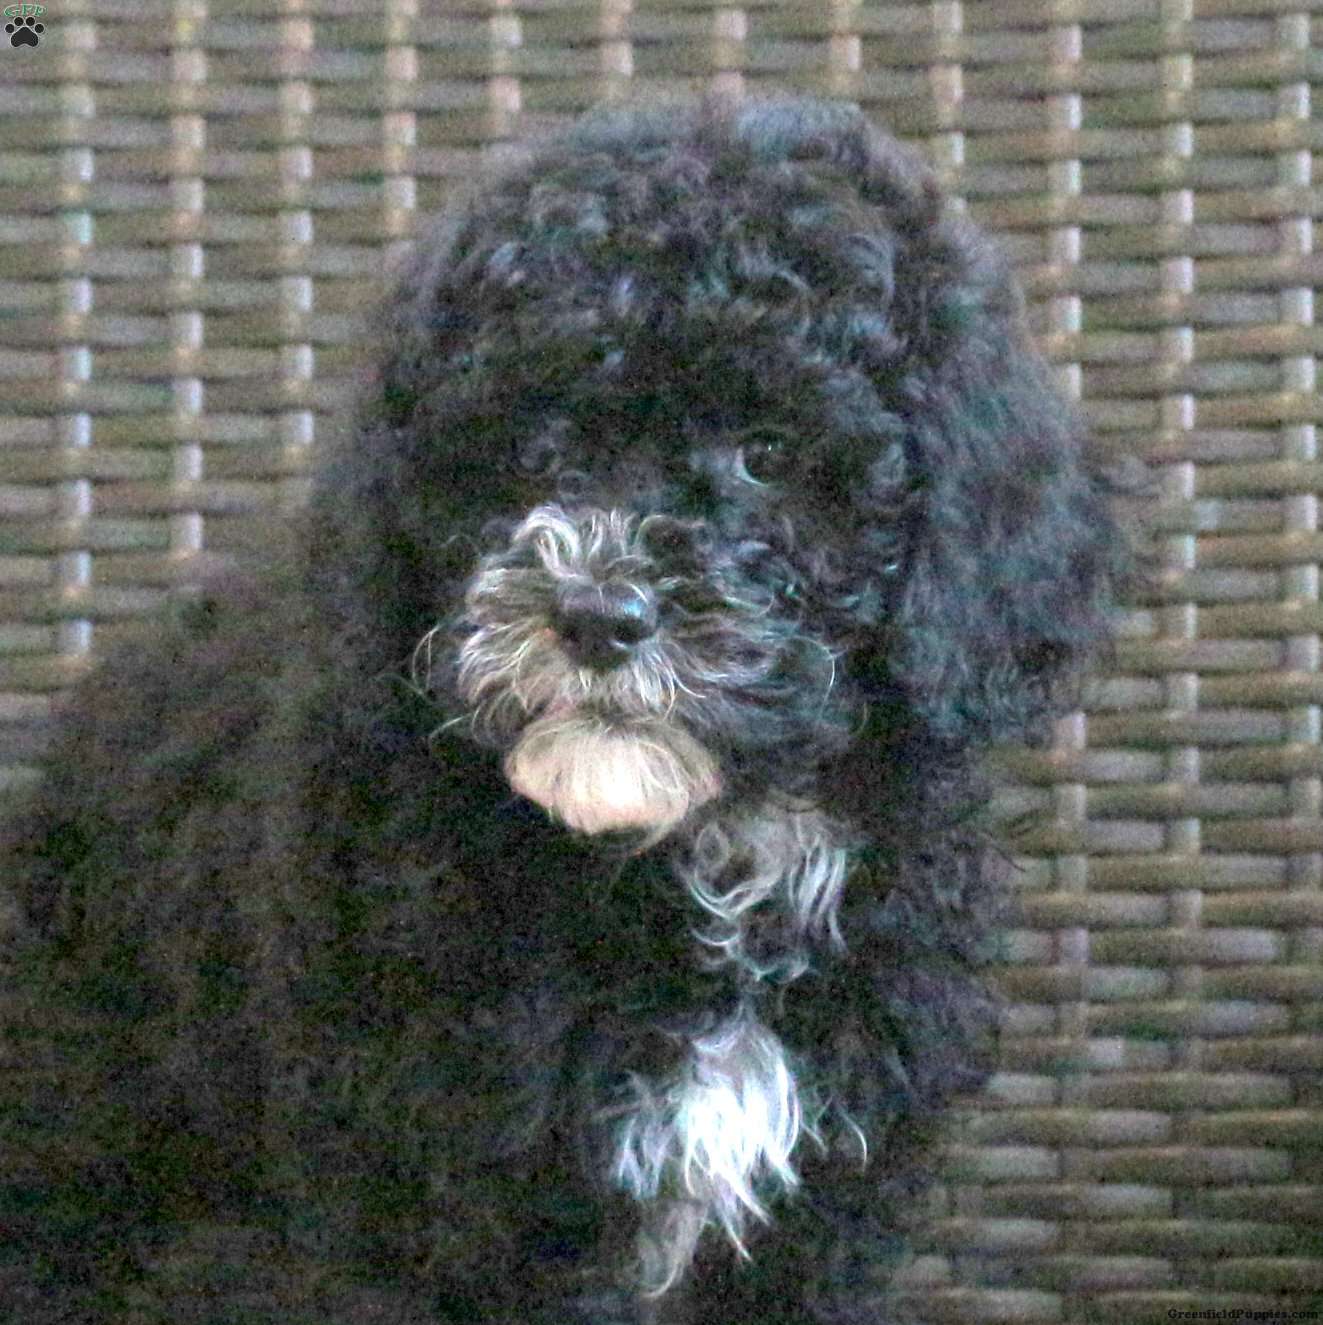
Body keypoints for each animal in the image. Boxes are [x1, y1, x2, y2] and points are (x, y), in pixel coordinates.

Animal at [1, 94, 1134, 1323]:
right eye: (535, 446)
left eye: (768, 452)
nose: (596, 613)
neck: (699, 856)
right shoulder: (416, 1197)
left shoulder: (826, 1204)